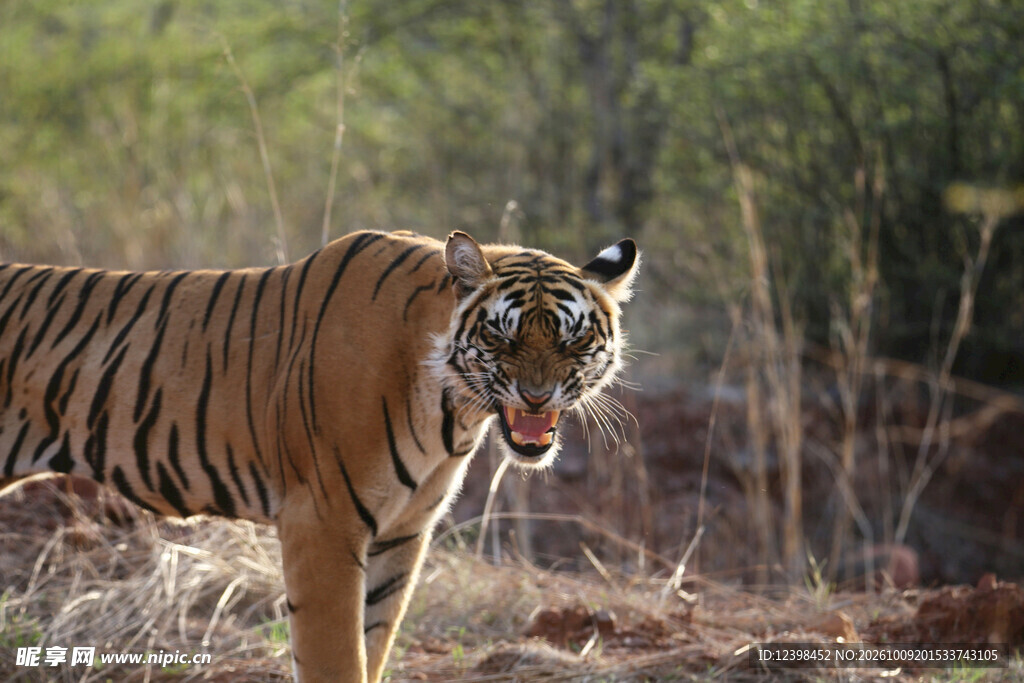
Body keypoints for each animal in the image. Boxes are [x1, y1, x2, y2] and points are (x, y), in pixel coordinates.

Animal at [0, 229, 639, 682]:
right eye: (502, 336)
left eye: (574, 338)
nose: (536, 396)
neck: (451, 407)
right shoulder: (324, 522)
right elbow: (336, 658)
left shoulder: (403, 530)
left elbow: (374, 644)